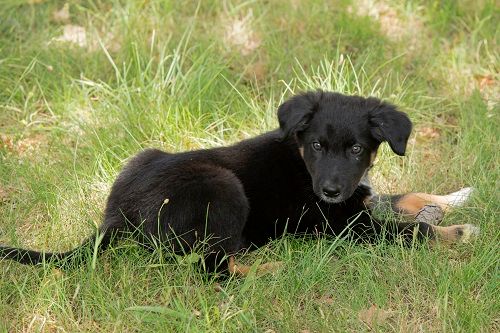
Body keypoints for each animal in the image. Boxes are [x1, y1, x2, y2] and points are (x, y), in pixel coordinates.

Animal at [0, 90, 476, 272]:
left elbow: (403, 196)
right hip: (223, 188)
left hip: (145, 157)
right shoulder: (341, 224)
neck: (301, 162)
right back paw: (276, 267)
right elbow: (408, 231)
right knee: (212, 268)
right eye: (317, 145)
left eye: (357, 149)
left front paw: (455, 197)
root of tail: (116, 215)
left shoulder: (355, 200)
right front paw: (454, 231)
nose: (329, 190)